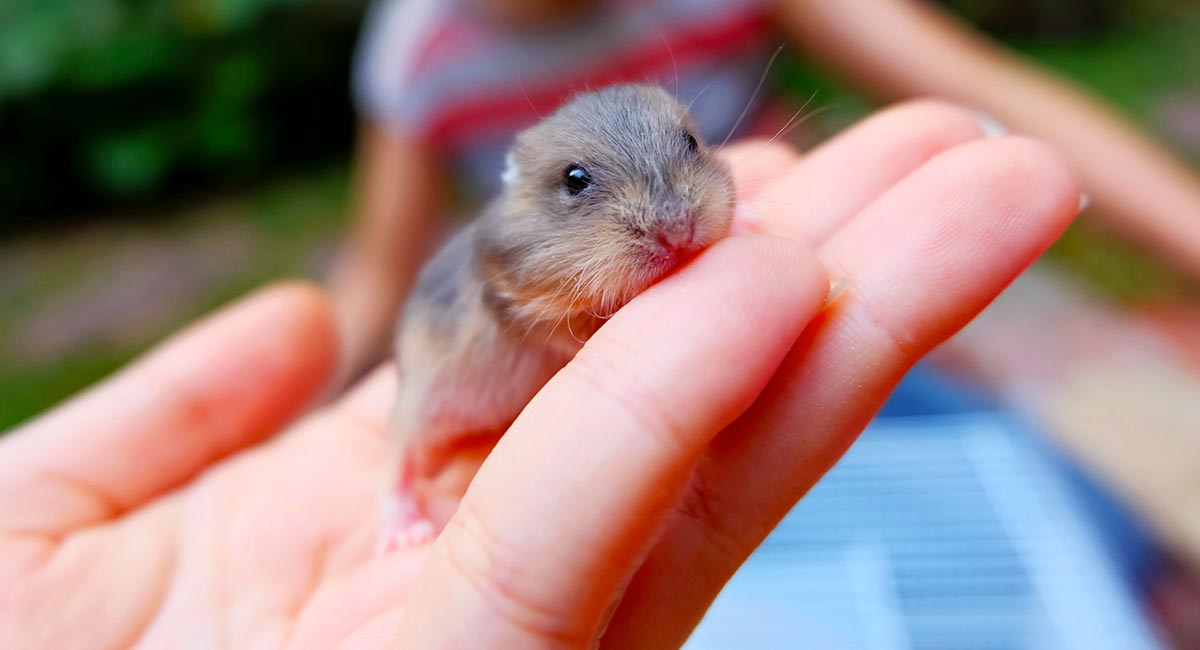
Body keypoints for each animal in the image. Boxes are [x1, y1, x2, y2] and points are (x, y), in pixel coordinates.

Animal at [379, 81, 734, 551]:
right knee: (395, 462)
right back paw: (404, 533)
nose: (678, 234)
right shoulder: (533, 314)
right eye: (575, 180)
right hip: (416, 406)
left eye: (691, 142)